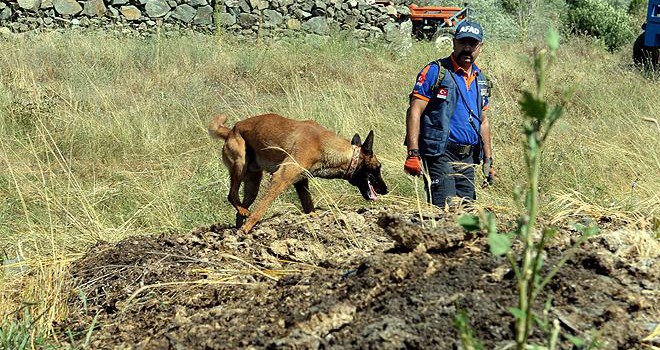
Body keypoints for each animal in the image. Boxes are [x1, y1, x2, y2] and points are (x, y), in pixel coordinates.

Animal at [208, 113, 386, 234]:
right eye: (378, 167)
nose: (386, 190)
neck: (323, 144)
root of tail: (232, 130)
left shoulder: (301, 182)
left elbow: (309, 207)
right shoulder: (281, 178)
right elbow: (261, 209)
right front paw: (247, 229)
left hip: (253, 183)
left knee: (240, 209)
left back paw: (239, 221)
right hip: (240, 165)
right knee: (232, 195)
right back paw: (243, 222)